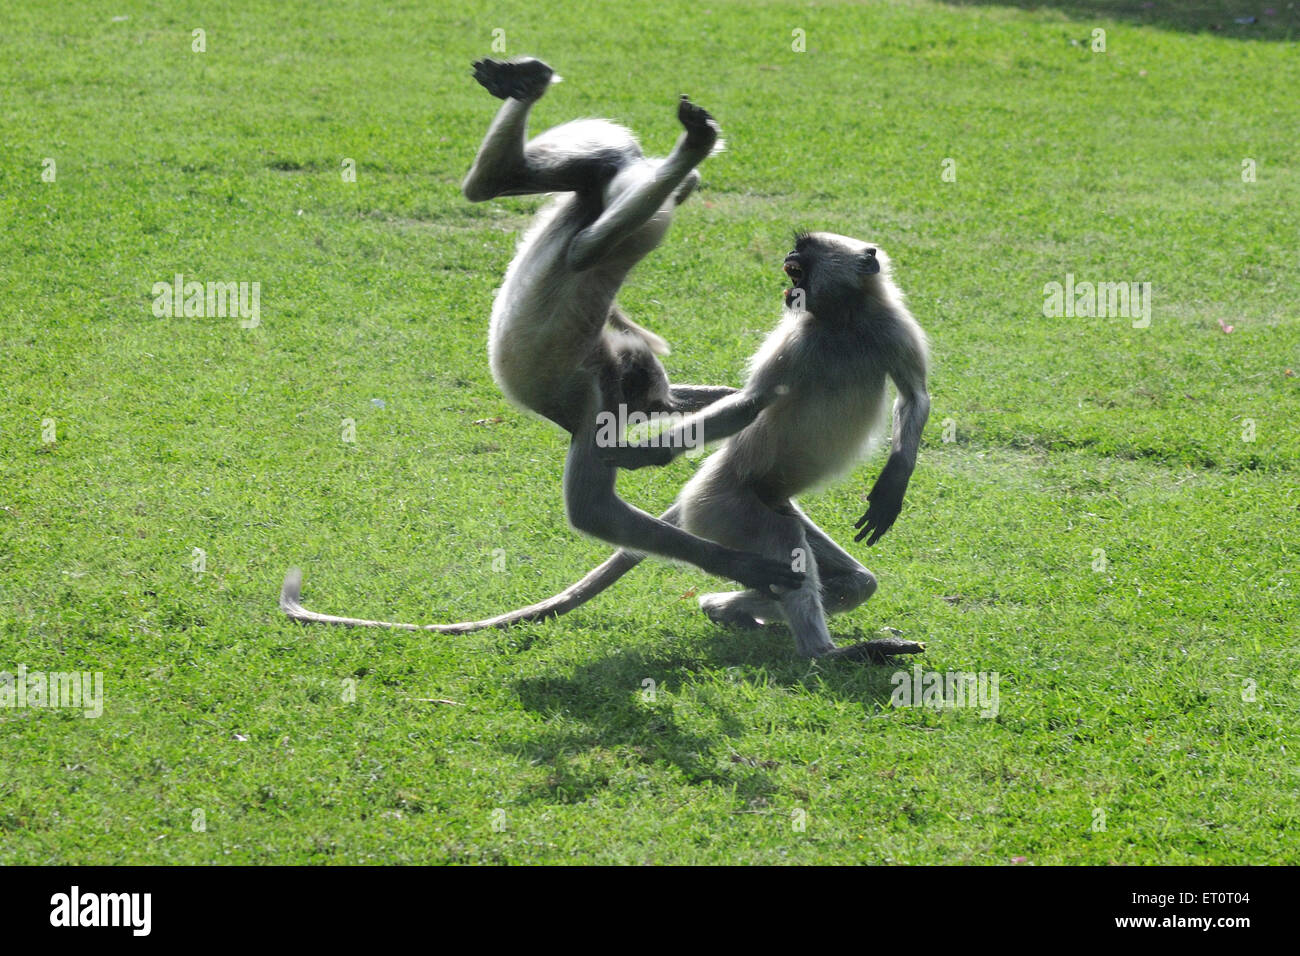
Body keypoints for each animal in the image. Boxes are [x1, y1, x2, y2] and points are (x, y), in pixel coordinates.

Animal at [282, 235, 935, 660]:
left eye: (799, 271)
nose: (787, 291)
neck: (842, 323)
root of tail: (707, 491)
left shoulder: (892, 328)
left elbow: (916, 396)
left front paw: (893, 485)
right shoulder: (796, 342)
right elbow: (750, 406)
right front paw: (641, 454)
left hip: (750, 507)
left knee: (848, 582)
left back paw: (728, 610)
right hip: (729, 506)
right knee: (793, 558)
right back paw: (818, 652)